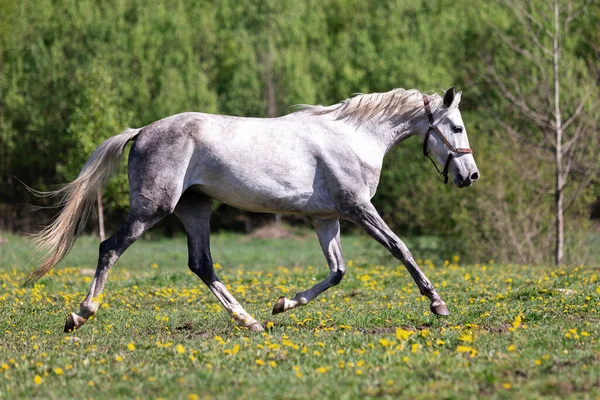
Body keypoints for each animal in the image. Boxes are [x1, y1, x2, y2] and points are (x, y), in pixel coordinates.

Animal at [28, 86, 478, 332]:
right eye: (456, 127)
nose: (470, 176)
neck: (353, 137)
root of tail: (141, 132)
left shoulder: (325, 219)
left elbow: (337, 271)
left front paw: (283, 304)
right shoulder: (357, 208)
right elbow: (400, 248)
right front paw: (437, 303)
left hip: (195, 209)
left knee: (201, 264)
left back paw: (250, 320)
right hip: (153, 208)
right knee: (110, 248)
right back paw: (80, 315)